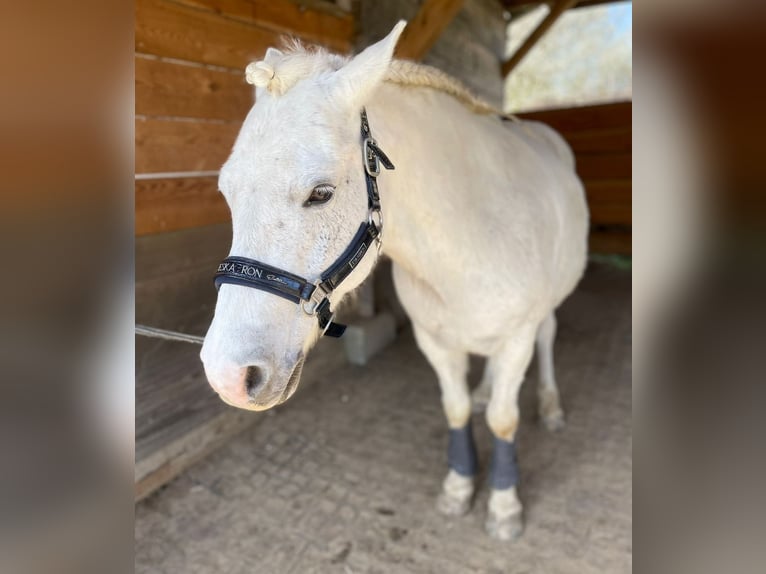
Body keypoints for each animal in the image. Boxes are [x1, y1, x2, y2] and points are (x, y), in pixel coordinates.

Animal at [200, 21, 589, 540]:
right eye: (227, 192)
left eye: (320, 194)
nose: (228, 376)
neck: (471, 239)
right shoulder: (434, 340)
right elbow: (457, 408)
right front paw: (459, 486)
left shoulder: (517, 338)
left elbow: (504, 421)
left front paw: (505, 504)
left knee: (548, 336)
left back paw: (549, 405)